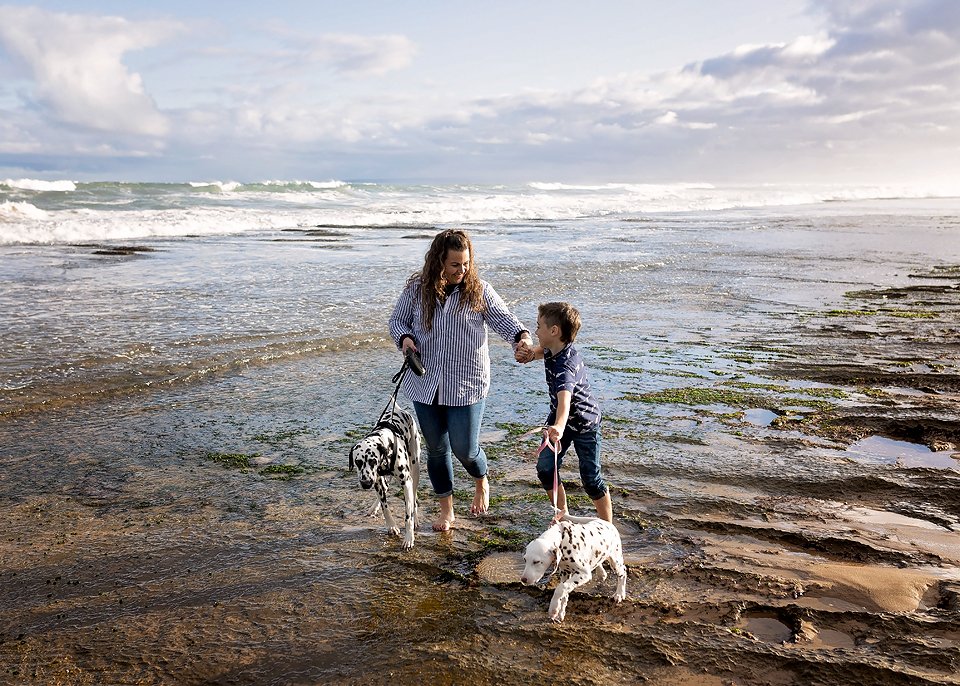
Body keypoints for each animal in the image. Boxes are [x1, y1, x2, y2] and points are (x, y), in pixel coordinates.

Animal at [346, 400, 418, 552]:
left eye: (373, 460)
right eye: (358, 462)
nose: (366, 483)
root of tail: (399, 409)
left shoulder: (406, 483)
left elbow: (408, 514)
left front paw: (409, 538)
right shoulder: (378, 482)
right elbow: (385, 507)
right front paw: (391, 526)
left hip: (415, 468)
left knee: (414, 497)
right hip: (382, 481)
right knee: (385, 489)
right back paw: (373, 508)